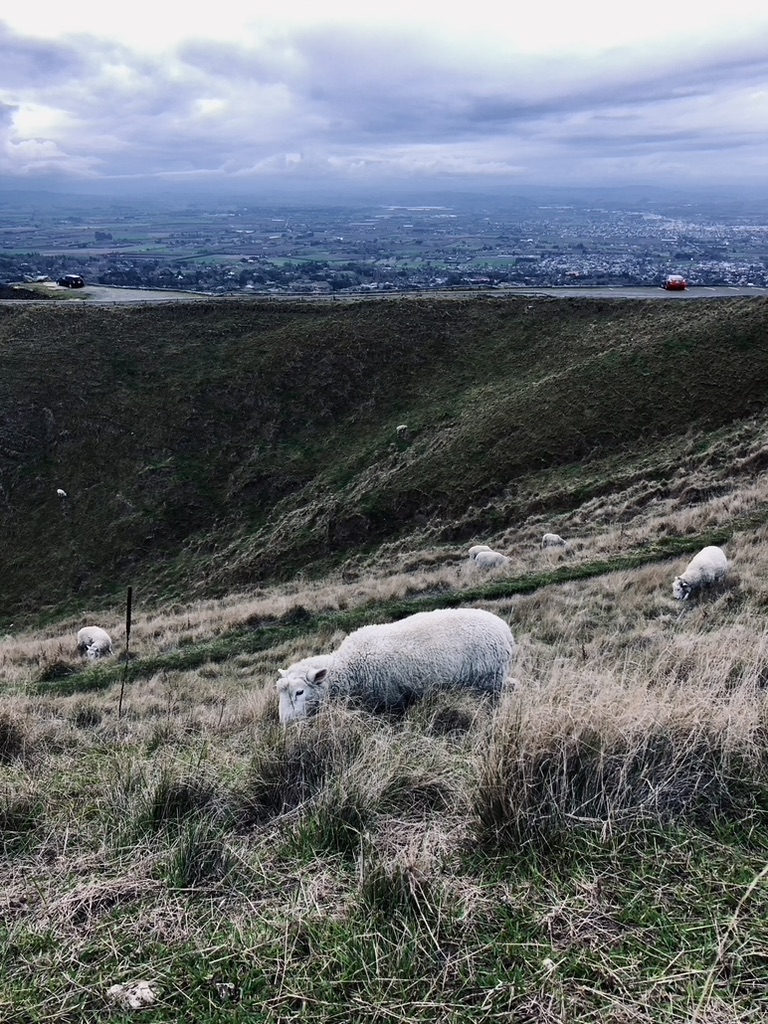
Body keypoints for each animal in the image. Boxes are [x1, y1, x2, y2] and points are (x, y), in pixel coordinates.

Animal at [276, 607, 516, 723]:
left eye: (299, 692)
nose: (286, 723)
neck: (350, 667)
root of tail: (504, 629)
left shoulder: (392, 700)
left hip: (488, 681)